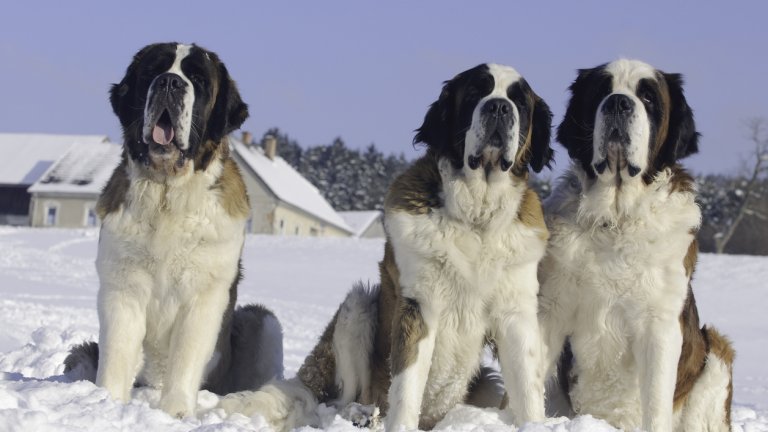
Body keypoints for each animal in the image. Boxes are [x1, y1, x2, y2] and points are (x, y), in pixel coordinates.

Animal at [63, 43, 284, 418]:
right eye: (153, 72)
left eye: (198, 79)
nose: (170, 82)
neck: (167, 194)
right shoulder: (122, 287)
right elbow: (117, 353)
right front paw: (108, 404)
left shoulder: (204, 297)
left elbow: (186, 356)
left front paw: (175, 412)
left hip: (263, 321)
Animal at [219, 64, 556, 432]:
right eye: (475, 93)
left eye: (519, 102)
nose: (498, 108)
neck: (476, 216)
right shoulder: (419, 306)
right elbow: (407, 385)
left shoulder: (516, 314)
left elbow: (527, 388)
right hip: (358, 307)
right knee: (336, 400)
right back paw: (361, 415)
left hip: (485, 384)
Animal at [536, 58, 736, 432]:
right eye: (602, 91)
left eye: (648, 98)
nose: (618, 103)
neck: (617, 219)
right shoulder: (551, 309)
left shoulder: (659, 325)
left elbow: (655, 400)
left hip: (716, 353)